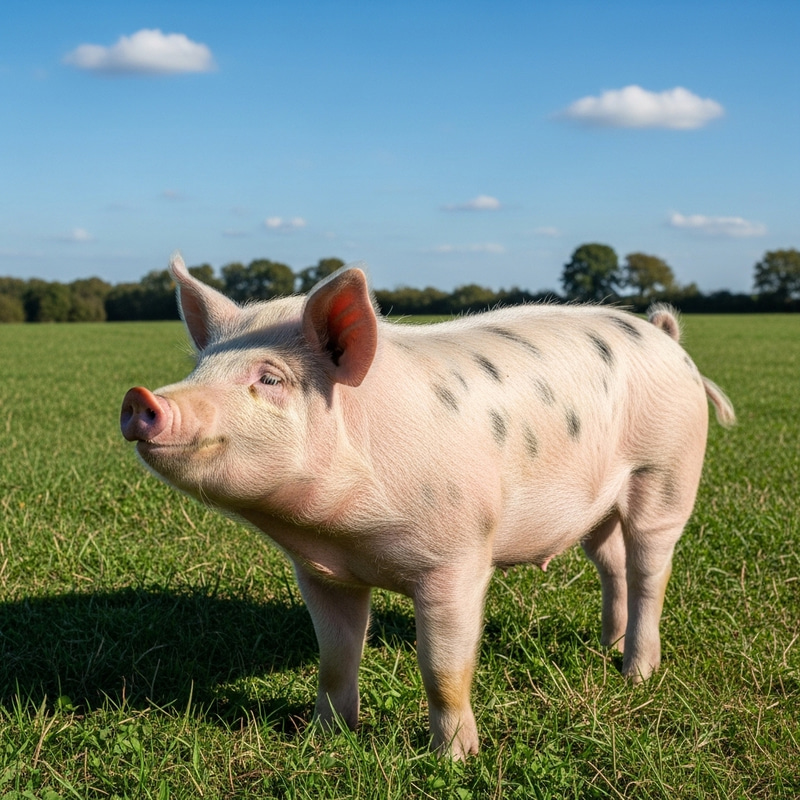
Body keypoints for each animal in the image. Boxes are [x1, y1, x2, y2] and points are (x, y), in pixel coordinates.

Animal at [120, 254, 735, 758]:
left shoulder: (456, 559)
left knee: (649, 567)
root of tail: (668, 340)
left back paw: (635, 674)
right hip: (599, 505)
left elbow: (442, 667)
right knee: (611, 564)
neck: (345, 536)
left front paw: (452, 759)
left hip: (666, 471)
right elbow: (334, 658)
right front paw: (323, 739)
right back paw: (607, 646)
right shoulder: (321, 573)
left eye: (270, 378)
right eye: (199, 370)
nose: (140, 397)